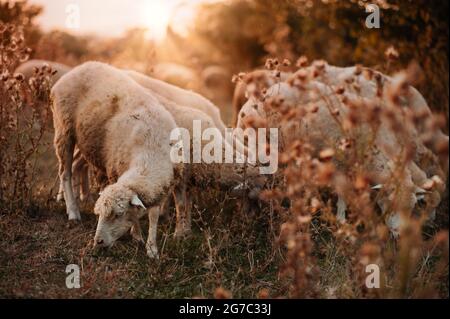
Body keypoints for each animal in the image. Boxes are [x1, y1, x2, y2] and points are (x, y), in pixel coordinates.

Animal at [51, 61, 179, 258]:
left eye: (118, 215)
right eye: (100, 215)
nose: (98, 242)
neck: (149, 148)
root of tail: (80, 67)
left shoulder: (160, 188)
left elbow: (153, 216)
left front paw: (152, 248)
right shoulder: (113, 171)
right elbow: (137, 215)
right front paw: (137, 236)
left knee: (73, 166)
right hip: (64, 129)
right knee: (64, 172)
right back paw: (72, 211)